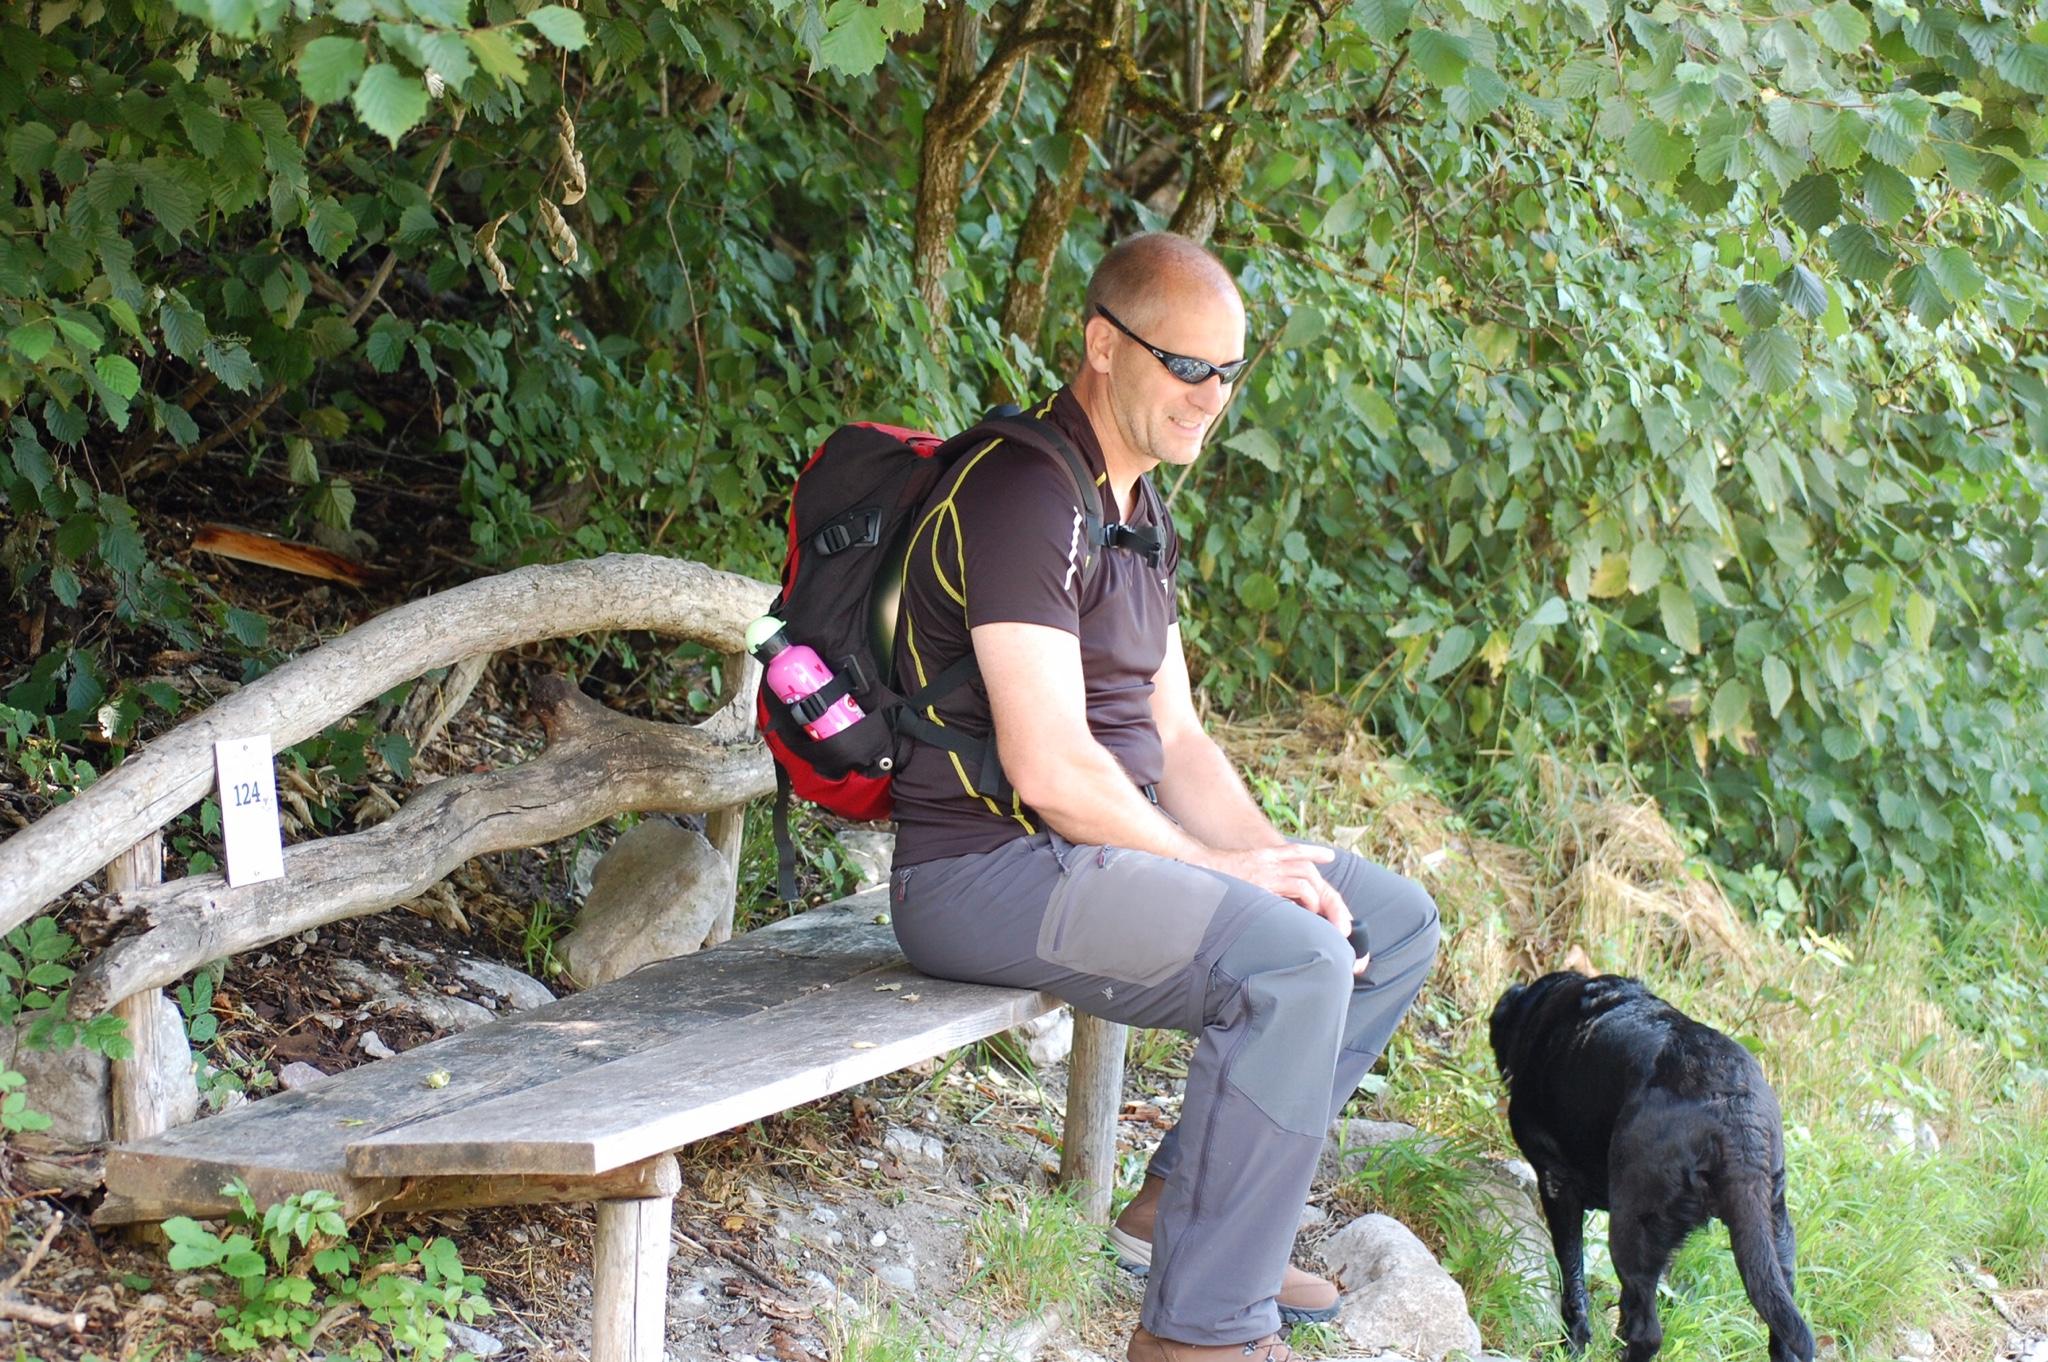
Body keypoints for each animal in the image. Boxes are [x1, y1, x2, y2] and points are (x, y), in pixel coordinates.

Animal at [1490, 972, 1814, 1362]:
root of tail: (1736, 1115)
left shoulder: (1557, 1183)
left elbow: (1572, 1273)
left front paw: (1574, 1344)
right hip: (1775, 1235)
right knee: (1781, 1333)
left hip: (1632, 1228)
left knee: (1649, 1333)